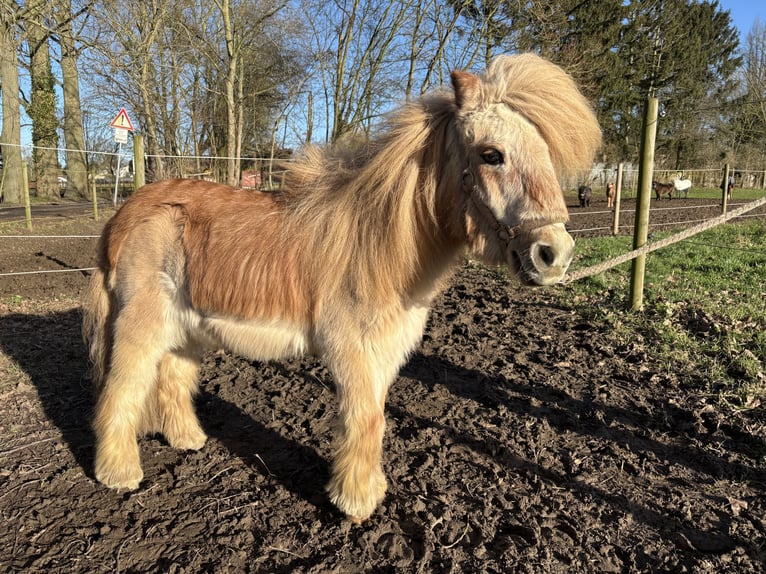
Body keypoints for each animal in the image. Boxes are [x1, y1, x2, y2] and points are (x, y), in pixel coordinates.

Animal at [82, 55, 600, 528]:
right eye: (492, 154)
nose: (554, 255)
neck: (378, 245)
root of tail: (126, 212)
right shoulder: (353, 351)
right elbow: (364, 420)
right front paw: (355, 504)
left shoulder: (386, 353)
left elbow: (375, 419)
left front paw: (367, 489)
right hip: (140, 323)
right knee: (122, 388)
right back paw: (119, 473)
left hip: (187, 328)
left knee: (172, 377)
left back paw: (188, 440)